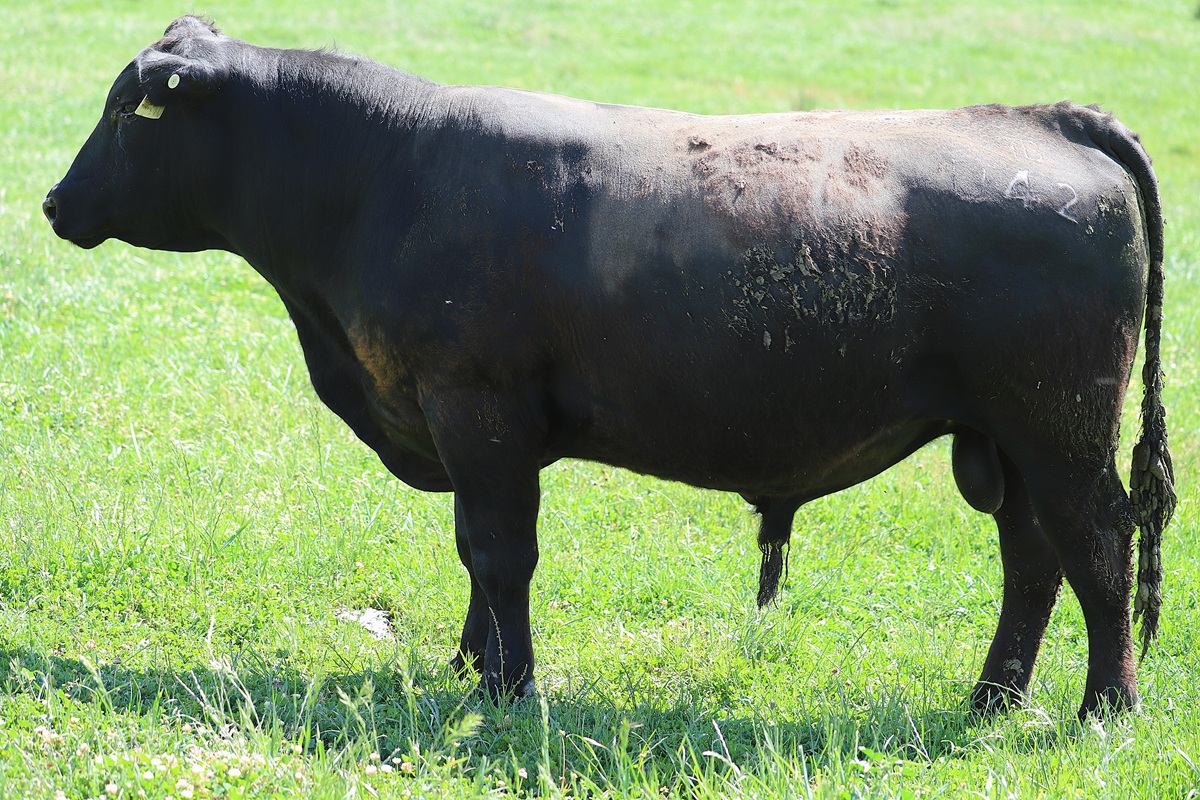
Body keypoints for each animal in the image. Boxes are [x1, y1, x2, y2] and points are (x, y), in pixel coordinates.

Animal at [44, 16, 1175, 719]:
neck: (383, 175)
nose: (53, 203)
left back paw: (1104, 706)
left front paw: (507, 689)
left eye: (124, 111)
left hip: (1060, 427)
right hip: (1005, 440)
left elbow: (502, 552)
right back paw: (994, 697)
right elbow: (474, 553)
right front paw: (470, 663)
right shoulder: (468, 428)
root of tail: (1043, 117)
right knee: (1032, 561)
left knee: (1099, 549)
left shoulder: (477, 411)